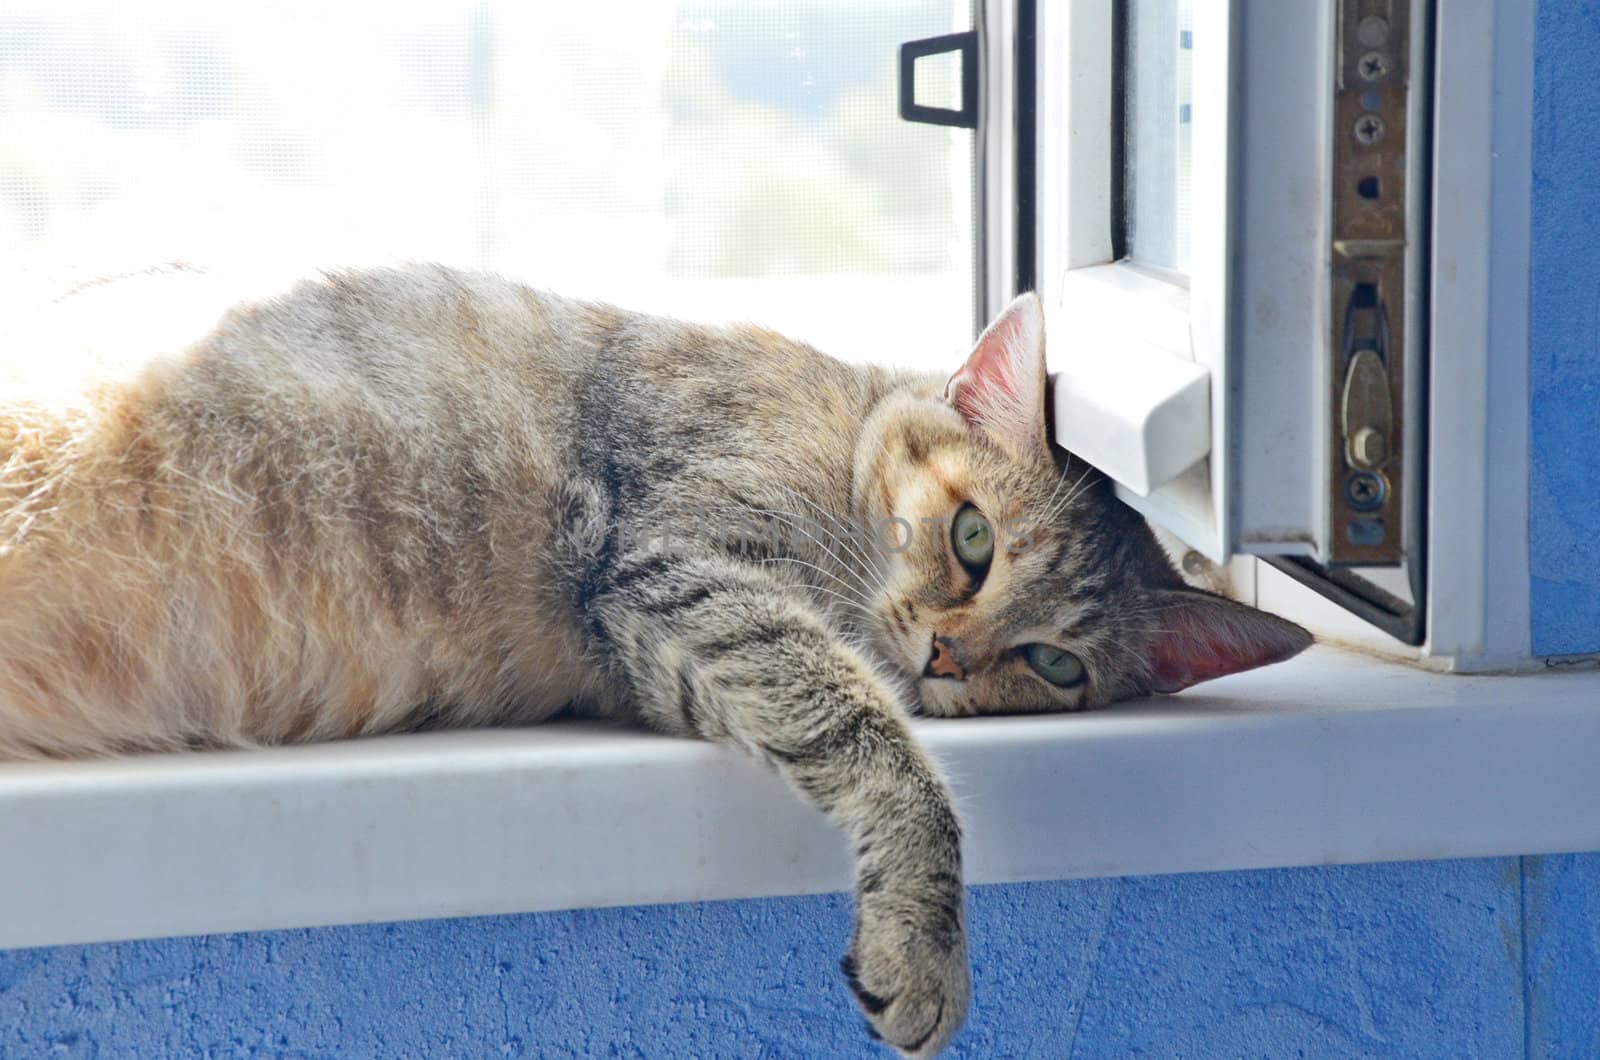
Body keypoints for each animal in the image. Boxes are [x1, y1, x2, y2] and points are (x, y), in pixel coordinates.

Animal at [0, 264, 1312, 1056]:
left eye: (1054, 664)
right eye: (974, 538)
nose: (948, 651)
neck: (835, 429)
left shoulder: (669, 627)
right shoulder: (677, 565)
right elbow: (881, 744)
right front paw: (927, 940)